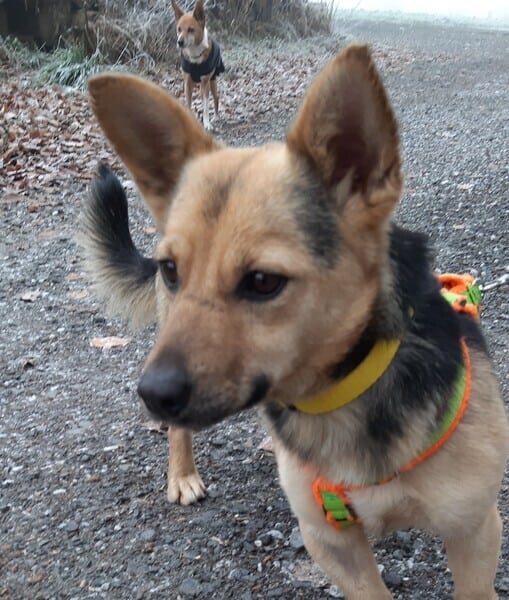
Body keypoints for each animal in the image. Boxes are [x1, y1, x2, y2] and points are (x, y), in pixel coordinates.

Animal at [81, 44, 509, 598]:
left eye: (264, 281)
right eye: (171, 270)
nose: (152, 395)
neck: (342, 398)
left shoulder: (474, 531)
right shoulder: (330, 541)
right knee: (181, 432)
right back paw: (182, 473)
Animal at [170, 0, 225, 131]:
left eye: (191, 29)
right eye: (179, 29)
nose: (179, 42)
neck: (194, 55)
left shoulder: (205, 83)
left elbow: (205, 106)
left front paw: (207, 124)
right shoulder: (187, 83)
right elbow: (188, 104)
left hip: (212, 82)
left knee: (216, 98)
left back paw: (215, 117)